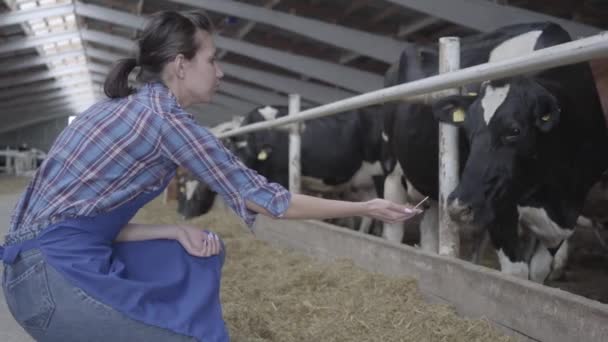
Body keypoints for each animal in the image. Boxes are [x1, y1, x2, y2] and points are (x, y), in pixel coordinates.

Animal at [382, 22, 604, 284]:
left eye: (514, 130)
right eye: (467, 130)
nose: (458, 206)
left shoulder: (562, 221)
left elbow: (538, 273)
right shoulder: (501, 210)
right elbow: (516, 273)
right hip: (391, 171)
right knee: (392, 228)